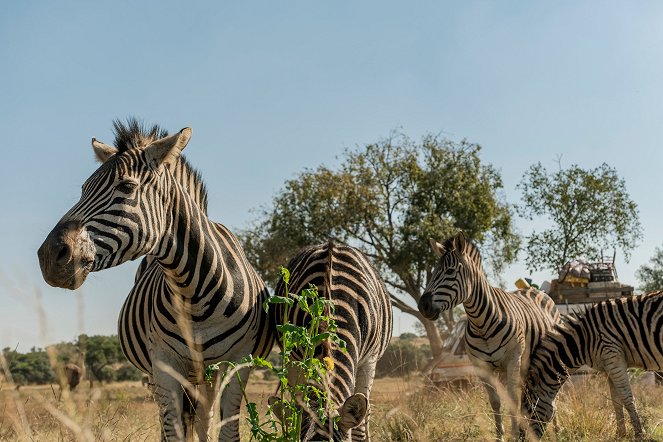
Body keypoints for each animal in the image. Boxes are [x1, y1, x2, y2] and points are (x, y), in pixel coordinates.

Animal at [37, 119, 274, 440]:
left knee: (205, 419)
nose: (49, 256)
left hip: (207, 376)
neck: (195, 294)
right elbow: (173, 430)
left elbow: (227, 431)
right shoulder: (164, 365)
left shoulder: (239, 363)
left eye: (126, 187)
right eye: (84, 190)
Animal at [420, 233, 560, 440]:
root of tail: (535, 290)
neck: (481, 323)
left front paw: (515, 435)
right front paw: (500, 436)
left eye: (450, 271)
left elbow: (512, 399)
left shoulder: (513, 360)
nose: (423, 306)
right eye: (433, 272)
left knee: (553, 393)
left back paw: (558, 430)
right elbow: (495, 401)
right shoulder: (482, 367)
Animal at [520, 292, 663, 440]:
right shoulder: (609, 365)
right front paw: (620, 435)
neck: (584, 340)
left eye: (528, 411)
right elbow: (616, 400)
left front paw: (640, 435)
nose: (521, 438)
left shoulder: (613, 356)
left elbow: (627, 398)